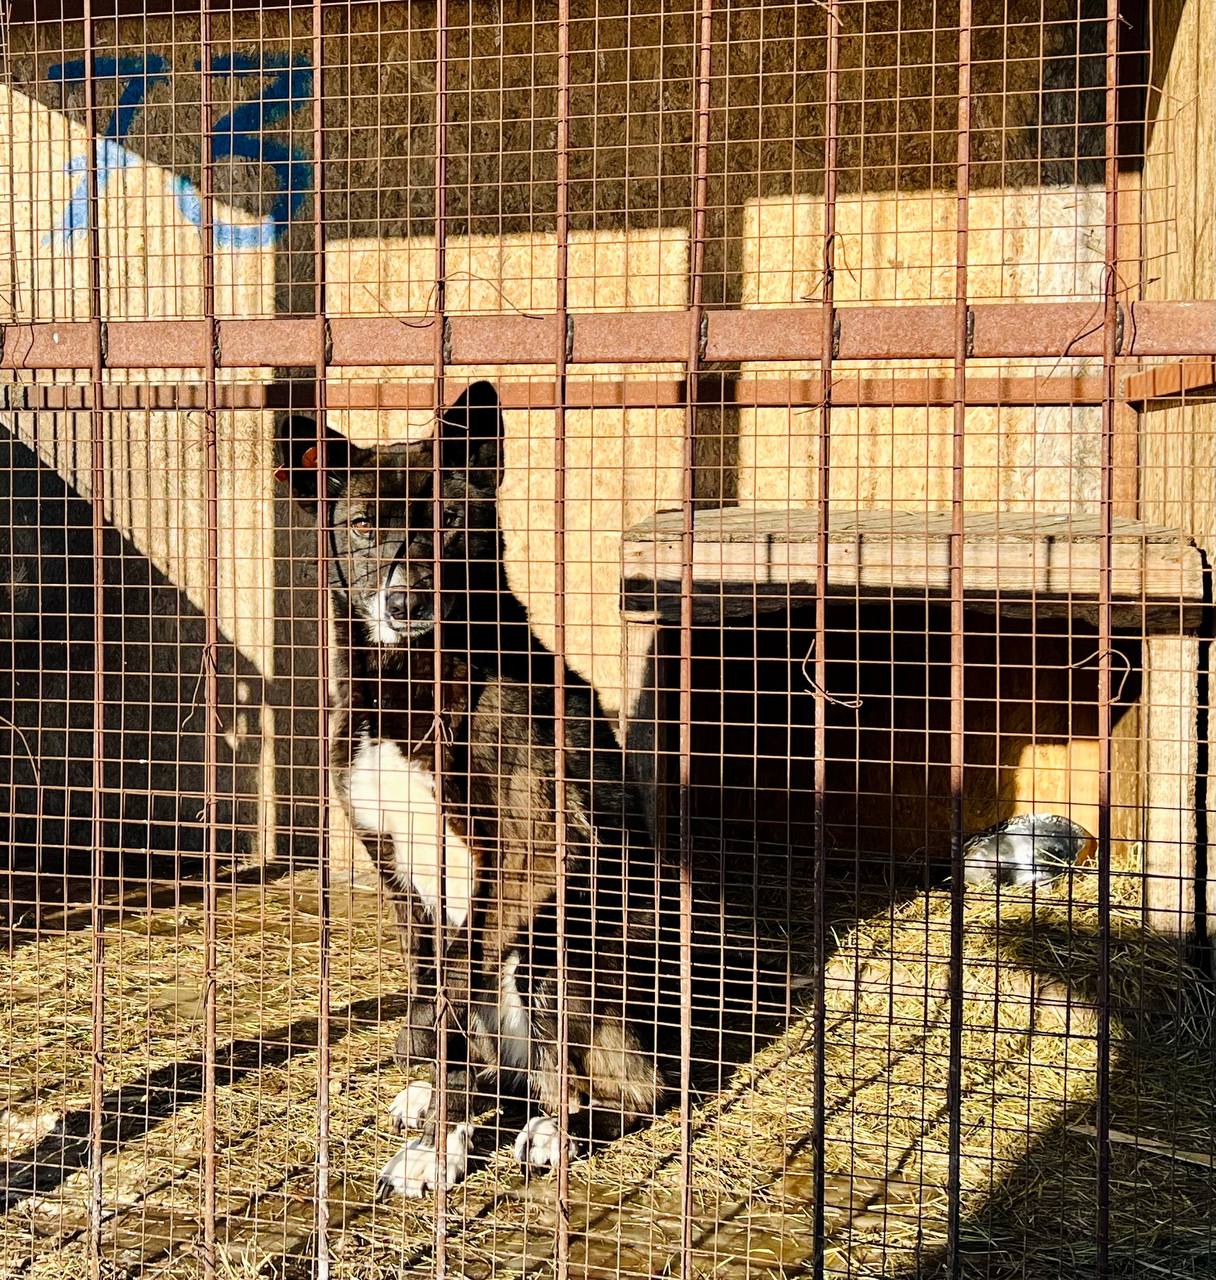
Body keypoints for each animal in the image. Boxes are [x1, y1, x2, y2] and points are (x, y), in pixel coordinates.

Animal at [279, 381, 675, 1198]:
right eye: (362, 526)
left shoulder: (533, 852)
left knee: (615, 1090)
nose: (405, 604)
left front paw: (440, 1146)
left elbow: (457, 1000)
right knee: (500, 1061)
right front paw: (440, 1118)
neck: (411, 682)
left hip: (563, 944)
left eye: (450, 521)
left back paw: (556, 1132)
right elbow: (435, 1009)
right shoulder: (398, 871)